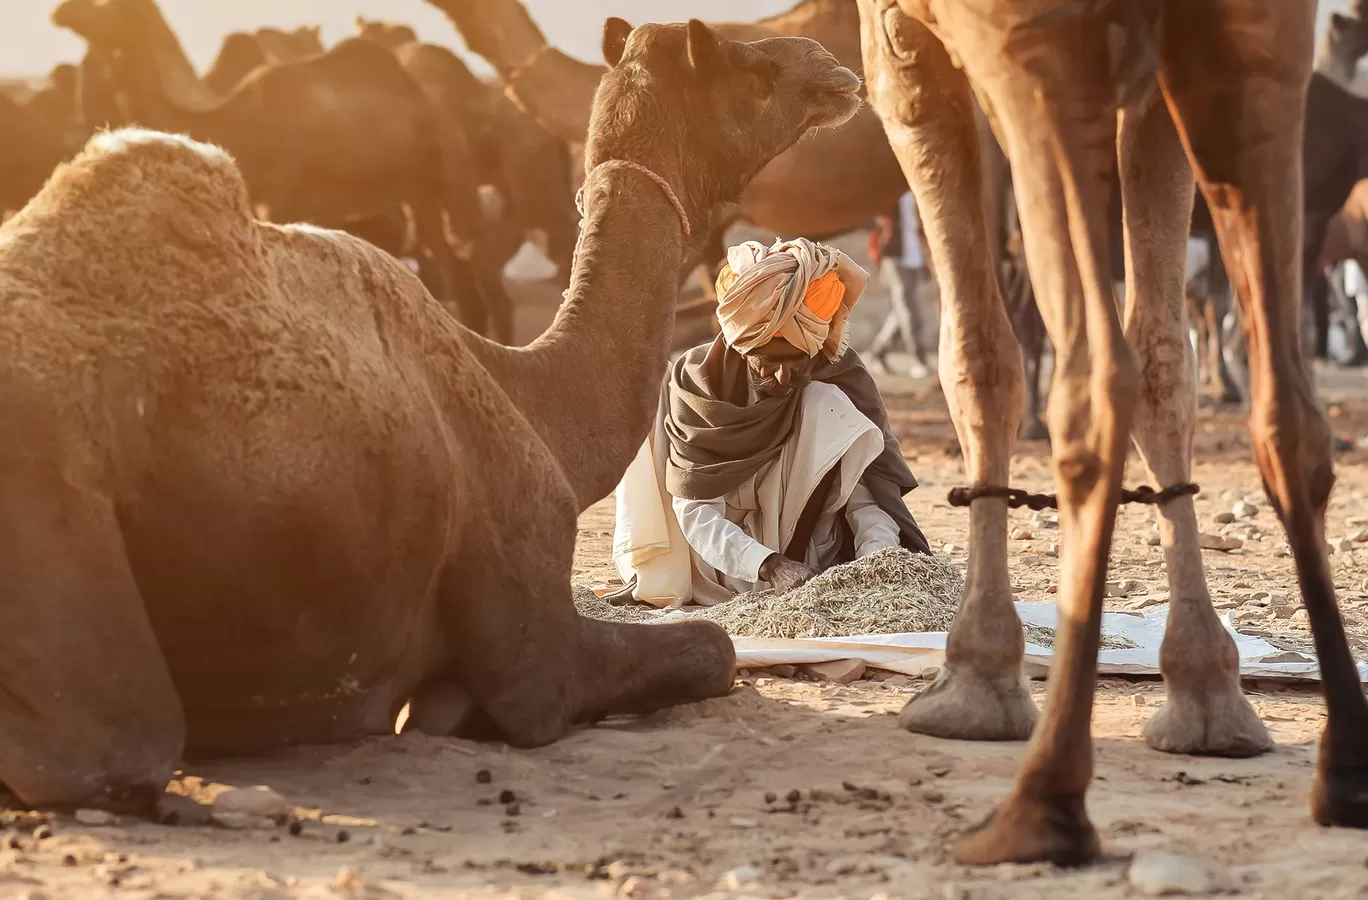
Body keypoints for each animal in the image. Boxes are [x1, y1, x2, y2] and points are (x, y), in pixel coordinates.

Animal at [0, 17, 853, 809]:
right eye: (746, 65)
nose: (834, 66)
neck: (531, 400)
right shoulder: (531, 648)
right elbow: (710, 649)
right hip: (53, 514)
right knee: (117, 748)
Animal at [859, 0, 1362, 864]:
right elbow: (1164, 353)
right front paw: (1206, 696)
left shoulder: (904, 44)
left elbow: (978, 350)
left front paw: (974, 682)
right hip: (1253, 46)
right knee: (1281, 403)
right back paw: (1347, 772)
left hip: (1034, 46)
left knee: (1091, 373)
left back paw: (1040, 802)